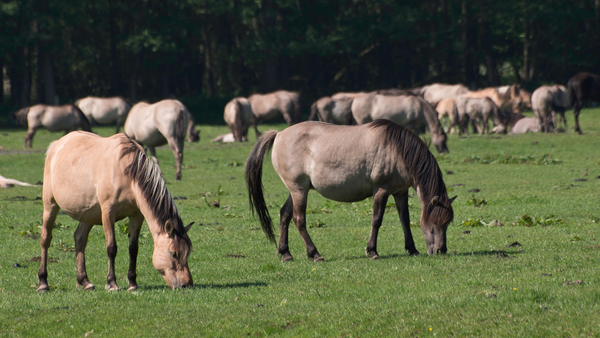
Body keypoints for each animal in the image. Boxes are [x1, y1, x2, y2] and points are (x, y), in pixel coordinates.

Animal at [38, 133, 192, 294]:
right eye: (174, 253)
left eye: (188, 252)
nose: (187, 284)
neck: (128, 173)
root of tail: (56, 145)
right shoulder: (108, 212)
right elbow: (111, 248)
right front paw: (112, 283)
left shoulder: (137, 215)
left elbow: (133, 248)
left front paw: (132, 283)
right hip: (50, 205)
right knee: (45, 239)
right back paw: (43, 283)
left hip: (87, 215)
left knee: (79, 239)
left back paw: (84, 282)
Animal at [244, 119, 454, 262]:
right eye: (434, 225)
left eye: (447, 224)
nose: (441, 250)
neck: (397, 150)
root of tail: (279, 134)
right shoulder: (381, 190)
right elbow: (376, 220)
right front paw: (372, 251)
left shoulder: (400, 191)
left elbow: (405, 220)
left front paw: (412, 249)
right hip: (299, 190)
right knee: (298, 219)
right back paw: (315, 253)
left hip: (296, 190)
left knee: (285, 215)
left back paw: (285, 253)